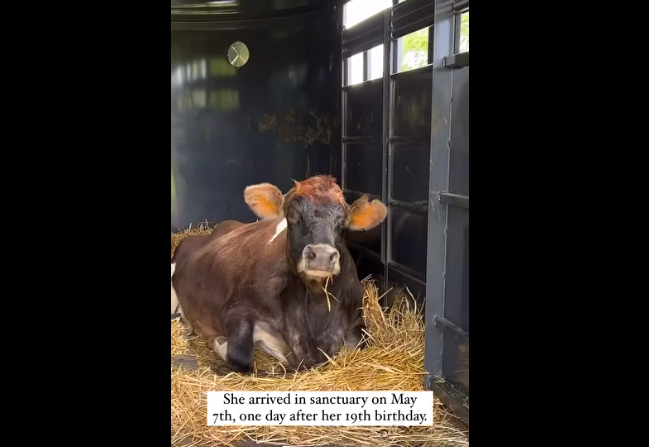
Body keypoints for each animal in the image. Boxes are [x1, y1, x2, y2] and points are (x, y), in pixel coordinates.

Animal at [171, 175, 388, 374]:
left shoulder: (357, 320)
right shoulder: (235, 308)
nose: (321, 255)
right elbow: (241, 358)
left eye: (343, 220)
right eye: (292, 214)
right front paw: (217, 341)